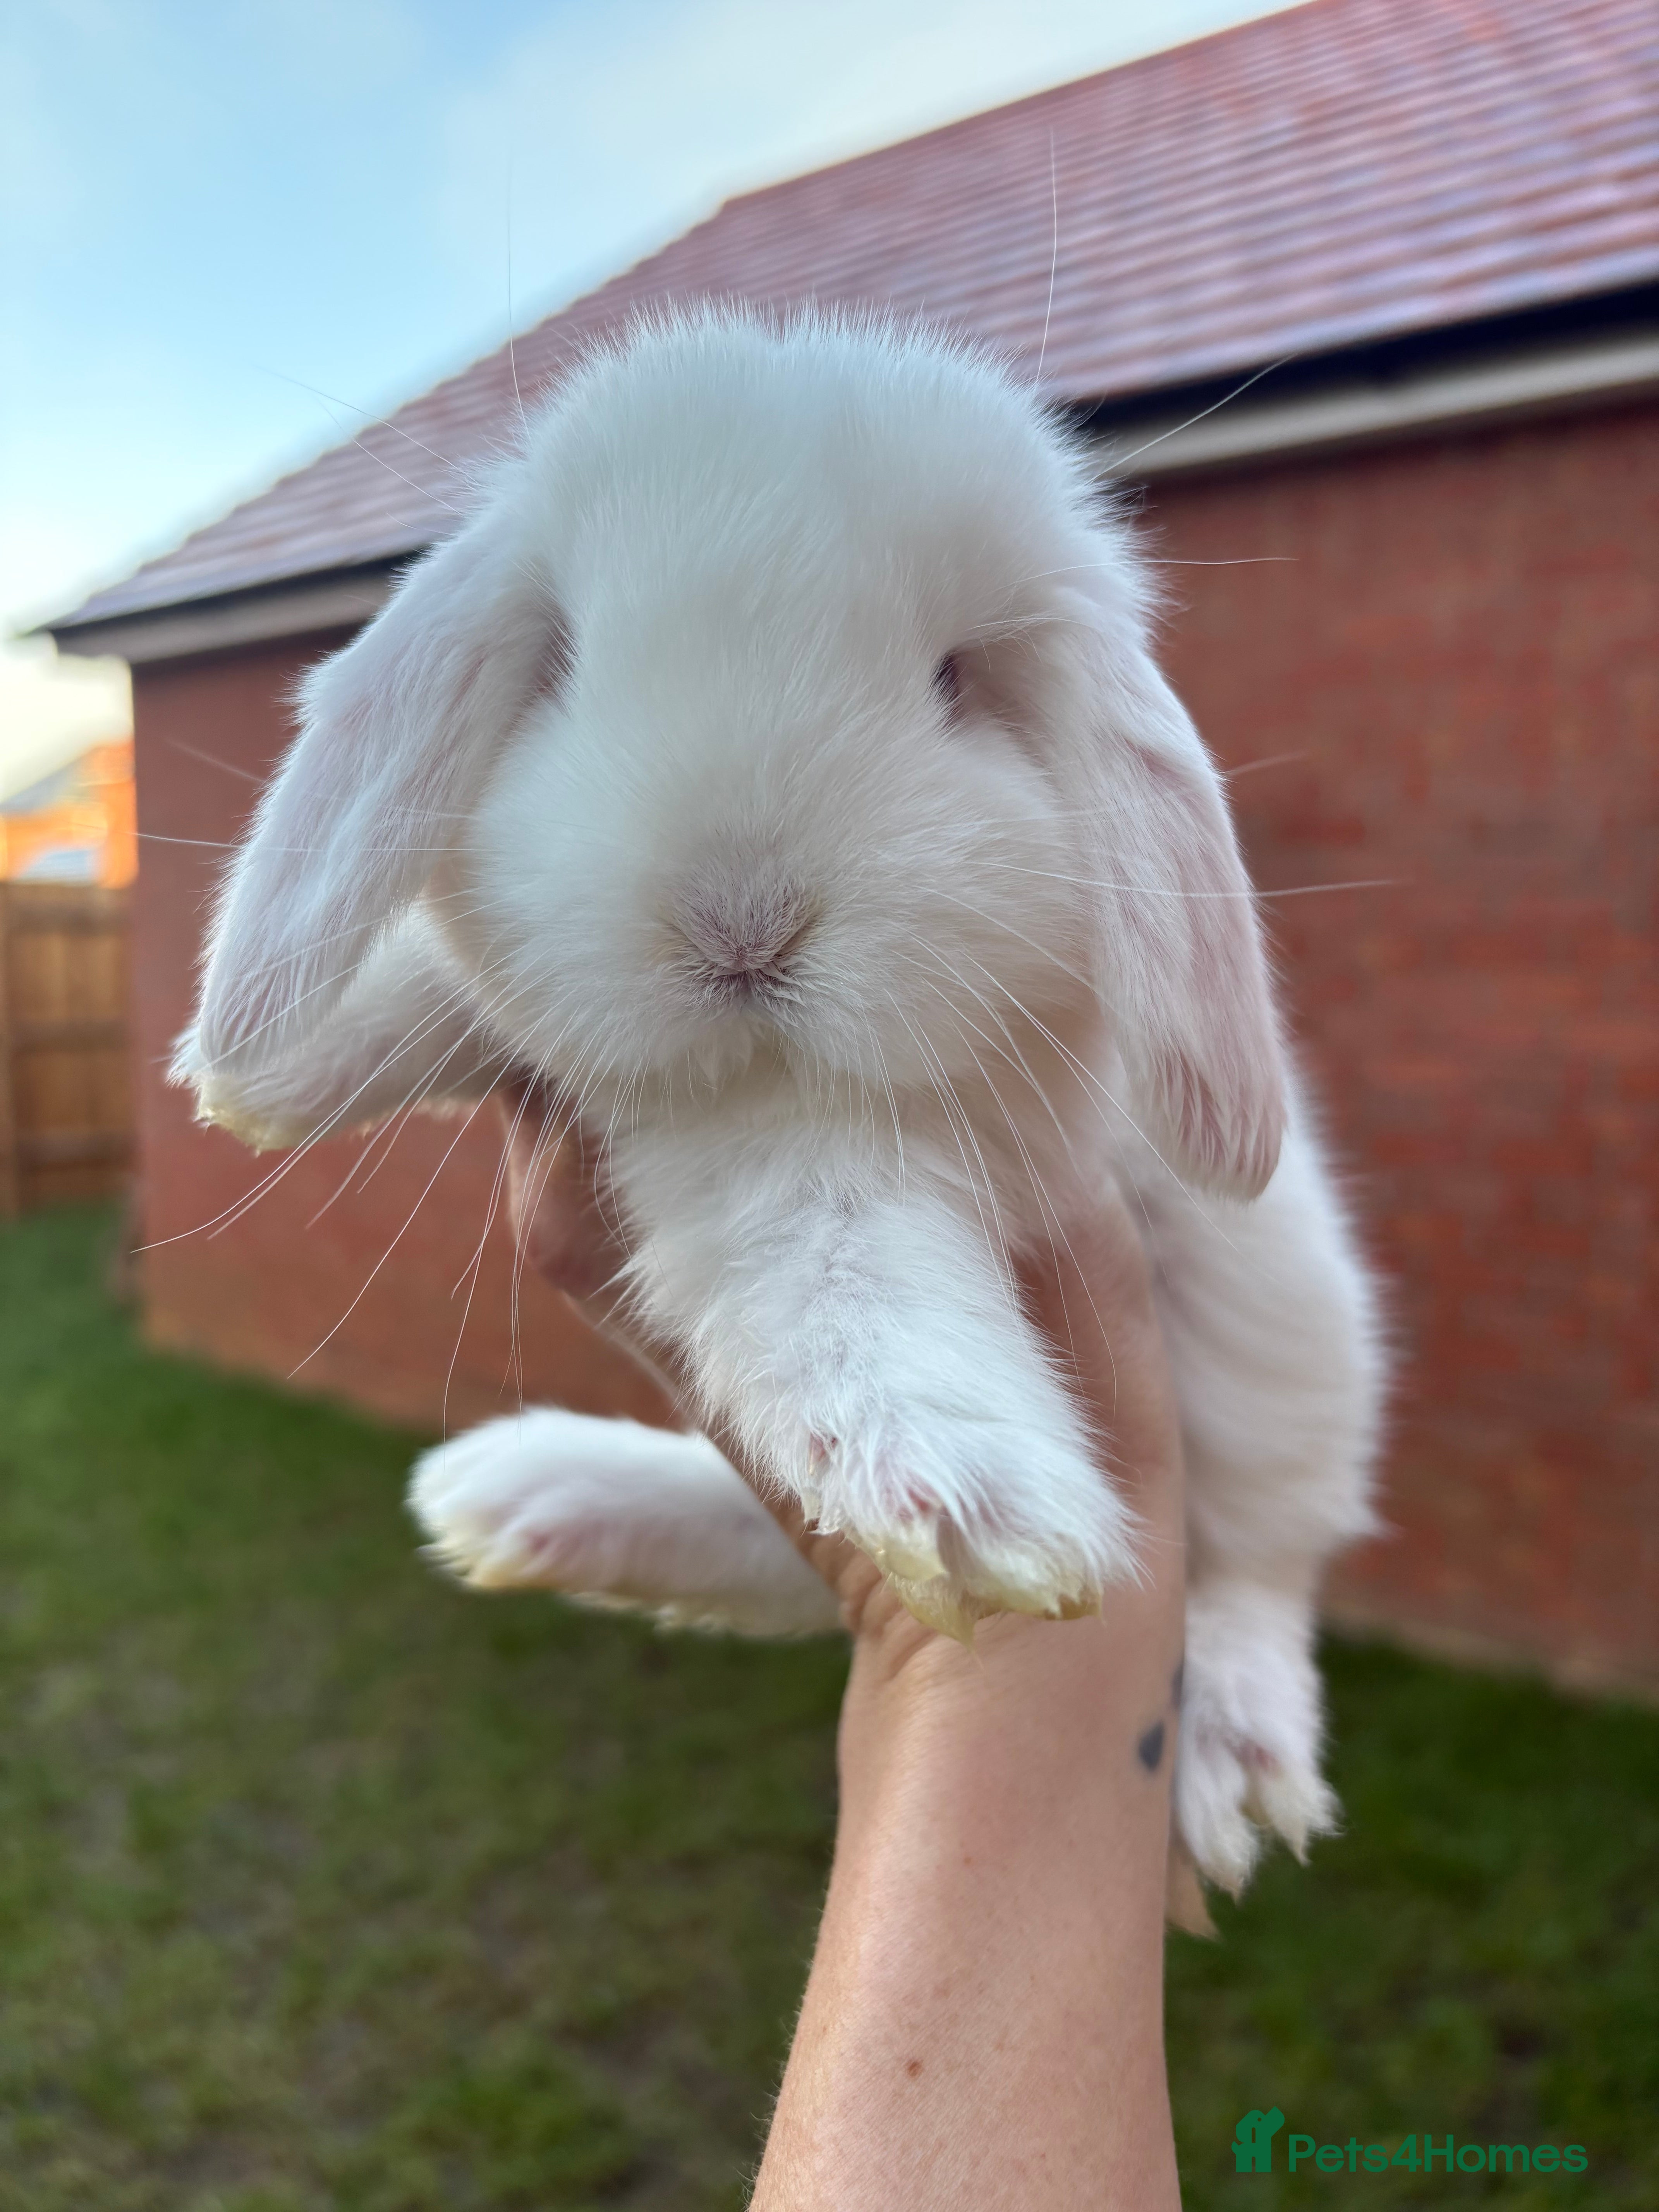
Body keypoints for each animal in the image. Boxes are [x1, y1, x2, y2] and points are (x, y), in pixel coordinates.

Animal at [176, 309, 1384, 1898]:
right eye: (566, 661)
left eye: (956, 678)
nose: (737, 921)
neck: (761, 1071)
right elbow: (469, 996)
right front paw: (263, 1073)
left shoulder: (916, 1140)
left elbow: (823, 1250)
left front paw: (961, 1492)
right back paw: (525, 1498)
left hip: (1281, 1325)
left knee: (1256, 1563)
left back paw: (1233, 1758)